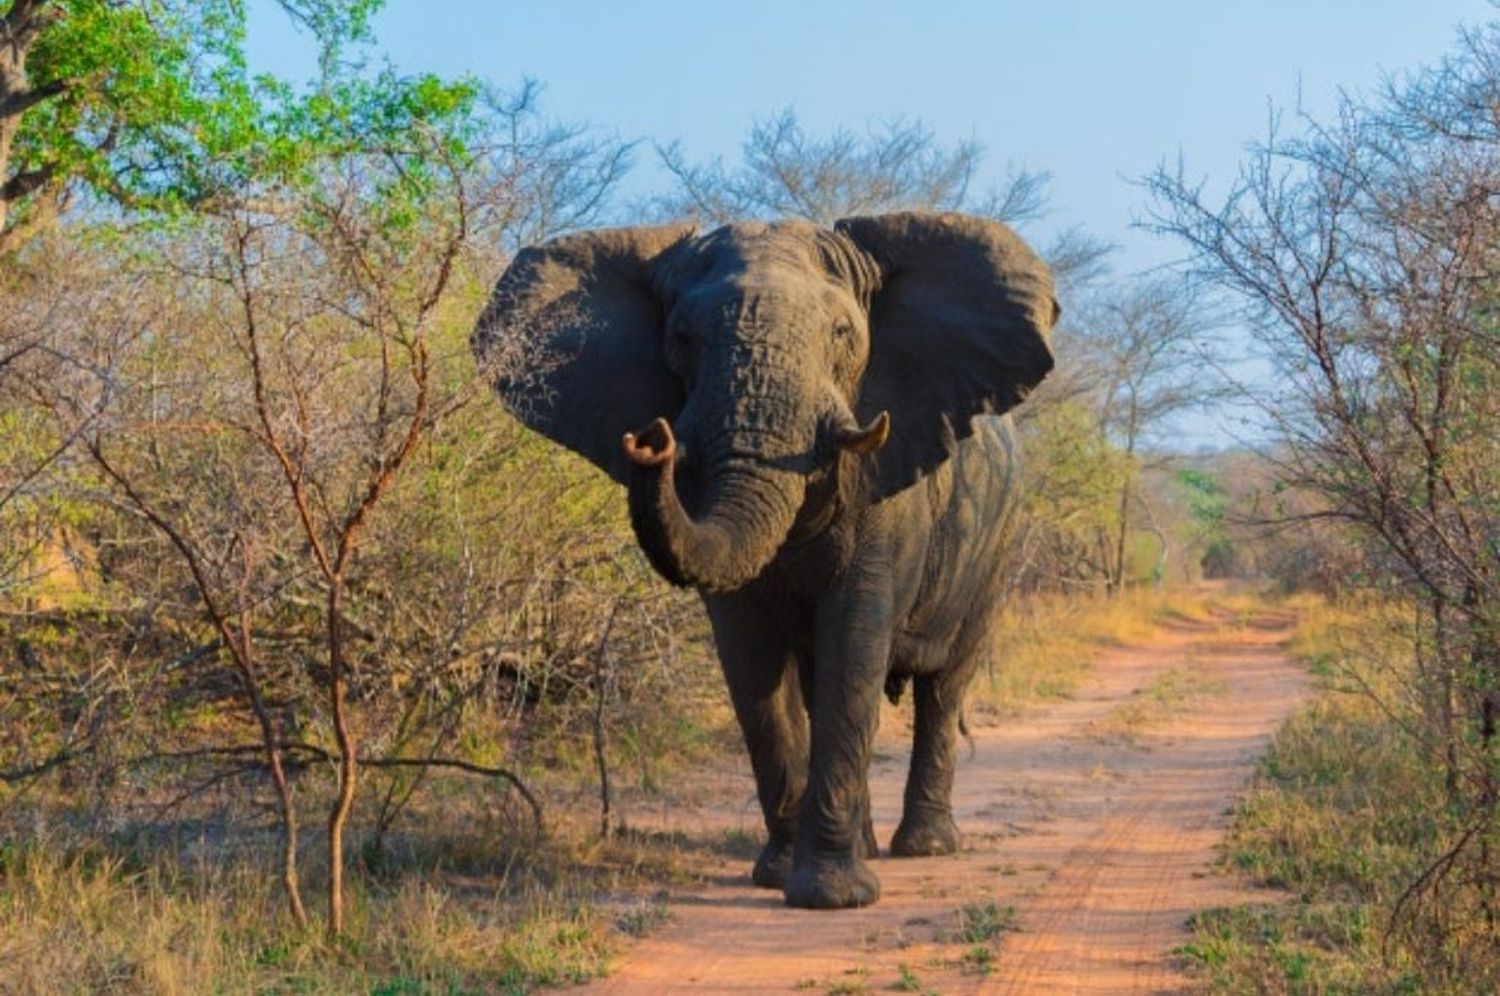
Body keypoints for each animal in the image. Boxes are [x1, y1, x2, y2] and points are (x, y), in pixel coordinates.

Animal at [474, 211, 1062, 912]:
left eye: (842, 333)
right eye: (682, 338)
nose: (650, 441)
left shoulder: (886, 487)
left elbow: (854, 642)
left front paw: (831, 898)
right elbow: (751, 659)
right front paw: (781, 877)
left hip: (997, 541)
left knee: (944, 685)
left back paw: (926, 849)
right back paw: (869, 846)